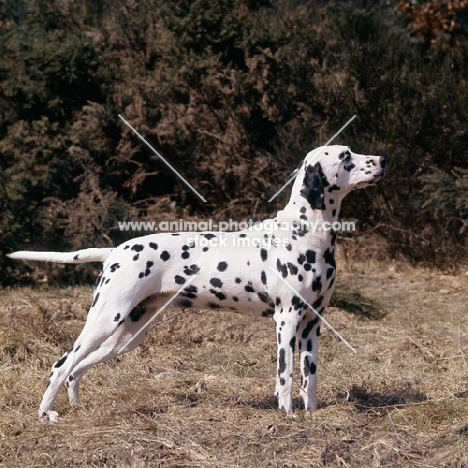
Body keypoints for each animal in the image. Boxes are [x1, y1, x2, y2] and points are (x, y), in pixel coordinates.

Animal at [7, 145, 386, 420]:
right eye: (346, 156)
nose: (383, 160)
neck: (305, 232)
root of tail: (115, 250)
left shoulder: (312, 324)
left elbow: (310, 377)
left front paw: (311, 415)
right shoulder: (287, 320)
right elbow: (286, 375)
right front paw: (287, 416)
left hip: (127, 336)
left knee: (76, 369)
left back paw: (76, 406)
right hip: (103, 322)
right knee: (61, 365)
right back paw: (46, 413)